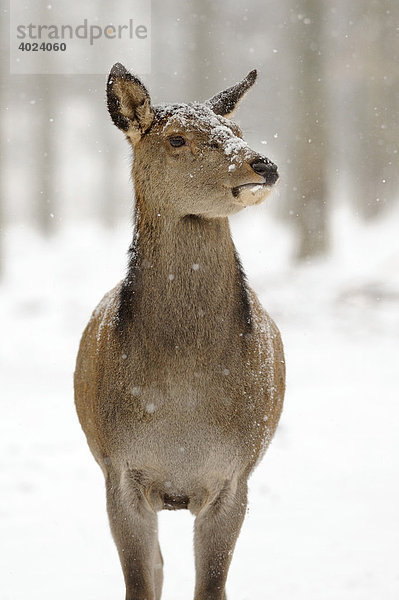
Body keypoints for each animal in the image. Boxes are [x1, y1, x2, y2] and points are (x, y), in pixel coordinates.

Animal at [75, 62, 286, 600]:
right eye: (176, 139)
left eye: (235, 128)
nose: (263, 165)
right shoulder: (119, 470)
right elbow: (140, 582)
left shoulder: (234, 475)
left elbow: (211, 586)